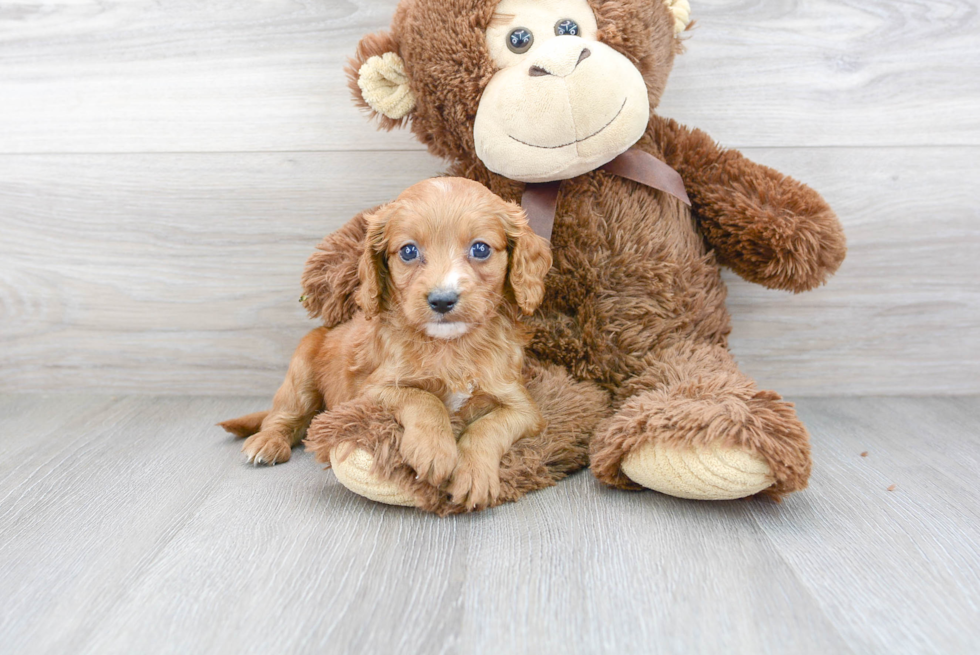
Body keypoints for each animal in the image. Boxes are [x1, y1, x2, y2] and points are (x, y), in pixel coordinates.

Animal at [220, 178, 552, 512]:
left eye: (480, 248)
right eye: (408, 251)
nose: (442, 300)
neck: (449, 346)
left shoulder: (523, 406)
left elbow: (488, 426)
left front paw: (473, 474)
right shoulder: (371, 390)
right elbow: (423, 398)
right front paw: (435, 449)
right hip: (300, 373)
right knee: (283, 415)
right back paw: (268, 442)